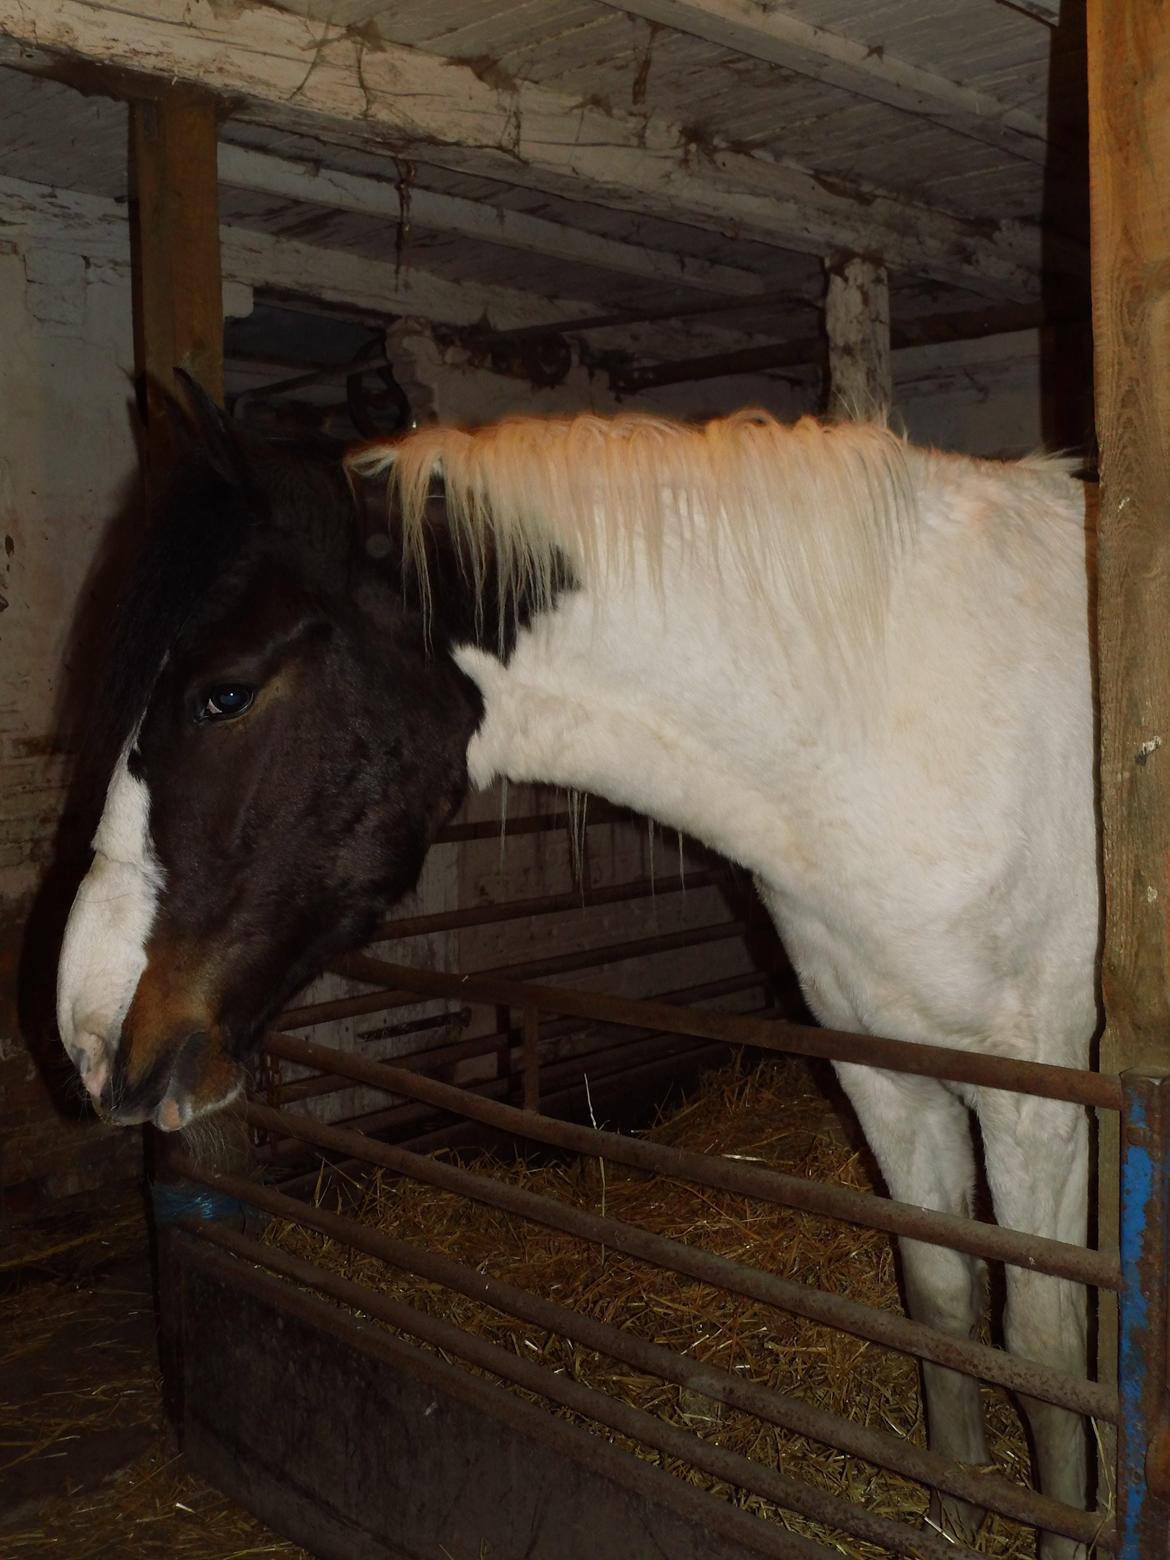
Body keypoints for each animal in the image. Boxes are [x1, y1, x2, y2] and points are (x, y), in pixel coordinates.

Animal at [54, 380, 1098, 1560]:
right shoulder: (888, 1078)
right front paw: (951, 1519)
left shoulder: (1037, 1102)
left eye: (224, 696)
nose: (89, 1035)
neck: (886, 722)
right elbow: (943, 1308)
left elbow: (1045, 1352)